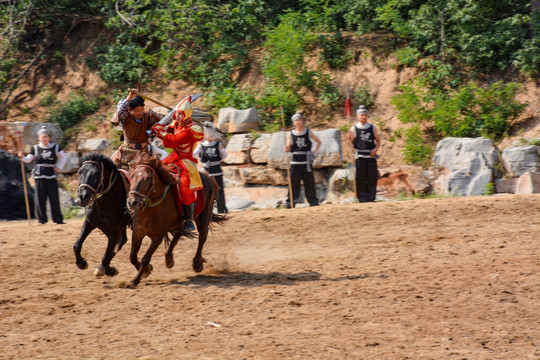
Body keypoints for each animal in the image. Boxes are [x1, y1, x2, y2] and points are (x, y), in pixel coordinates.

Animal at [126, 153, 226, 288]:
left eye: (148, 178)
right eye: (131, 176)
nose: (132, 202)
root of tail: (208, 178)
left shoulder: (157, 237)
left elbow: (146, 258)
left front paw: (135, 280)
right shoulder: (138, 232)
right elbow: (132, 256)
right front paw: (146, 271)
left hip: (204, 217)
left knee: (202, 237)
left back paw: (197, 264)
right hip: (179, 222)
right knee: (178, 234)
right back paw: (169, 259)